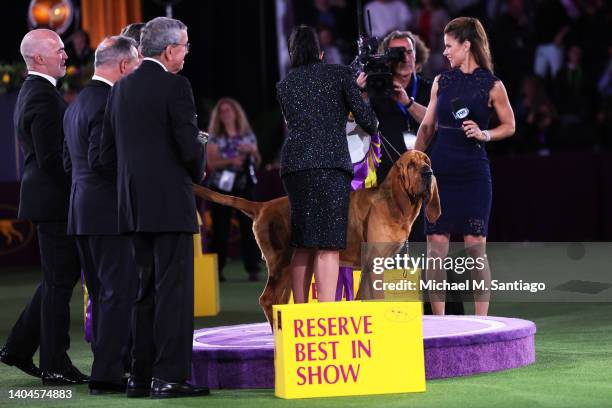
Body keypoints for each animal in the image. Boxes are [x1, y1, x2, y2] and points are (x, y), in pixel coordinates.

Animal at [192, 150, 440, 326]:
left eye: (427, 161)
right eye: (411, 165)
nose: (428, 172)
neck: (392, 202)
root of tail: (262, 206)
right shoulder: (373, 264)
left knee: (278, 302)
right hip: (280, 264)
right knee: (267, 299)